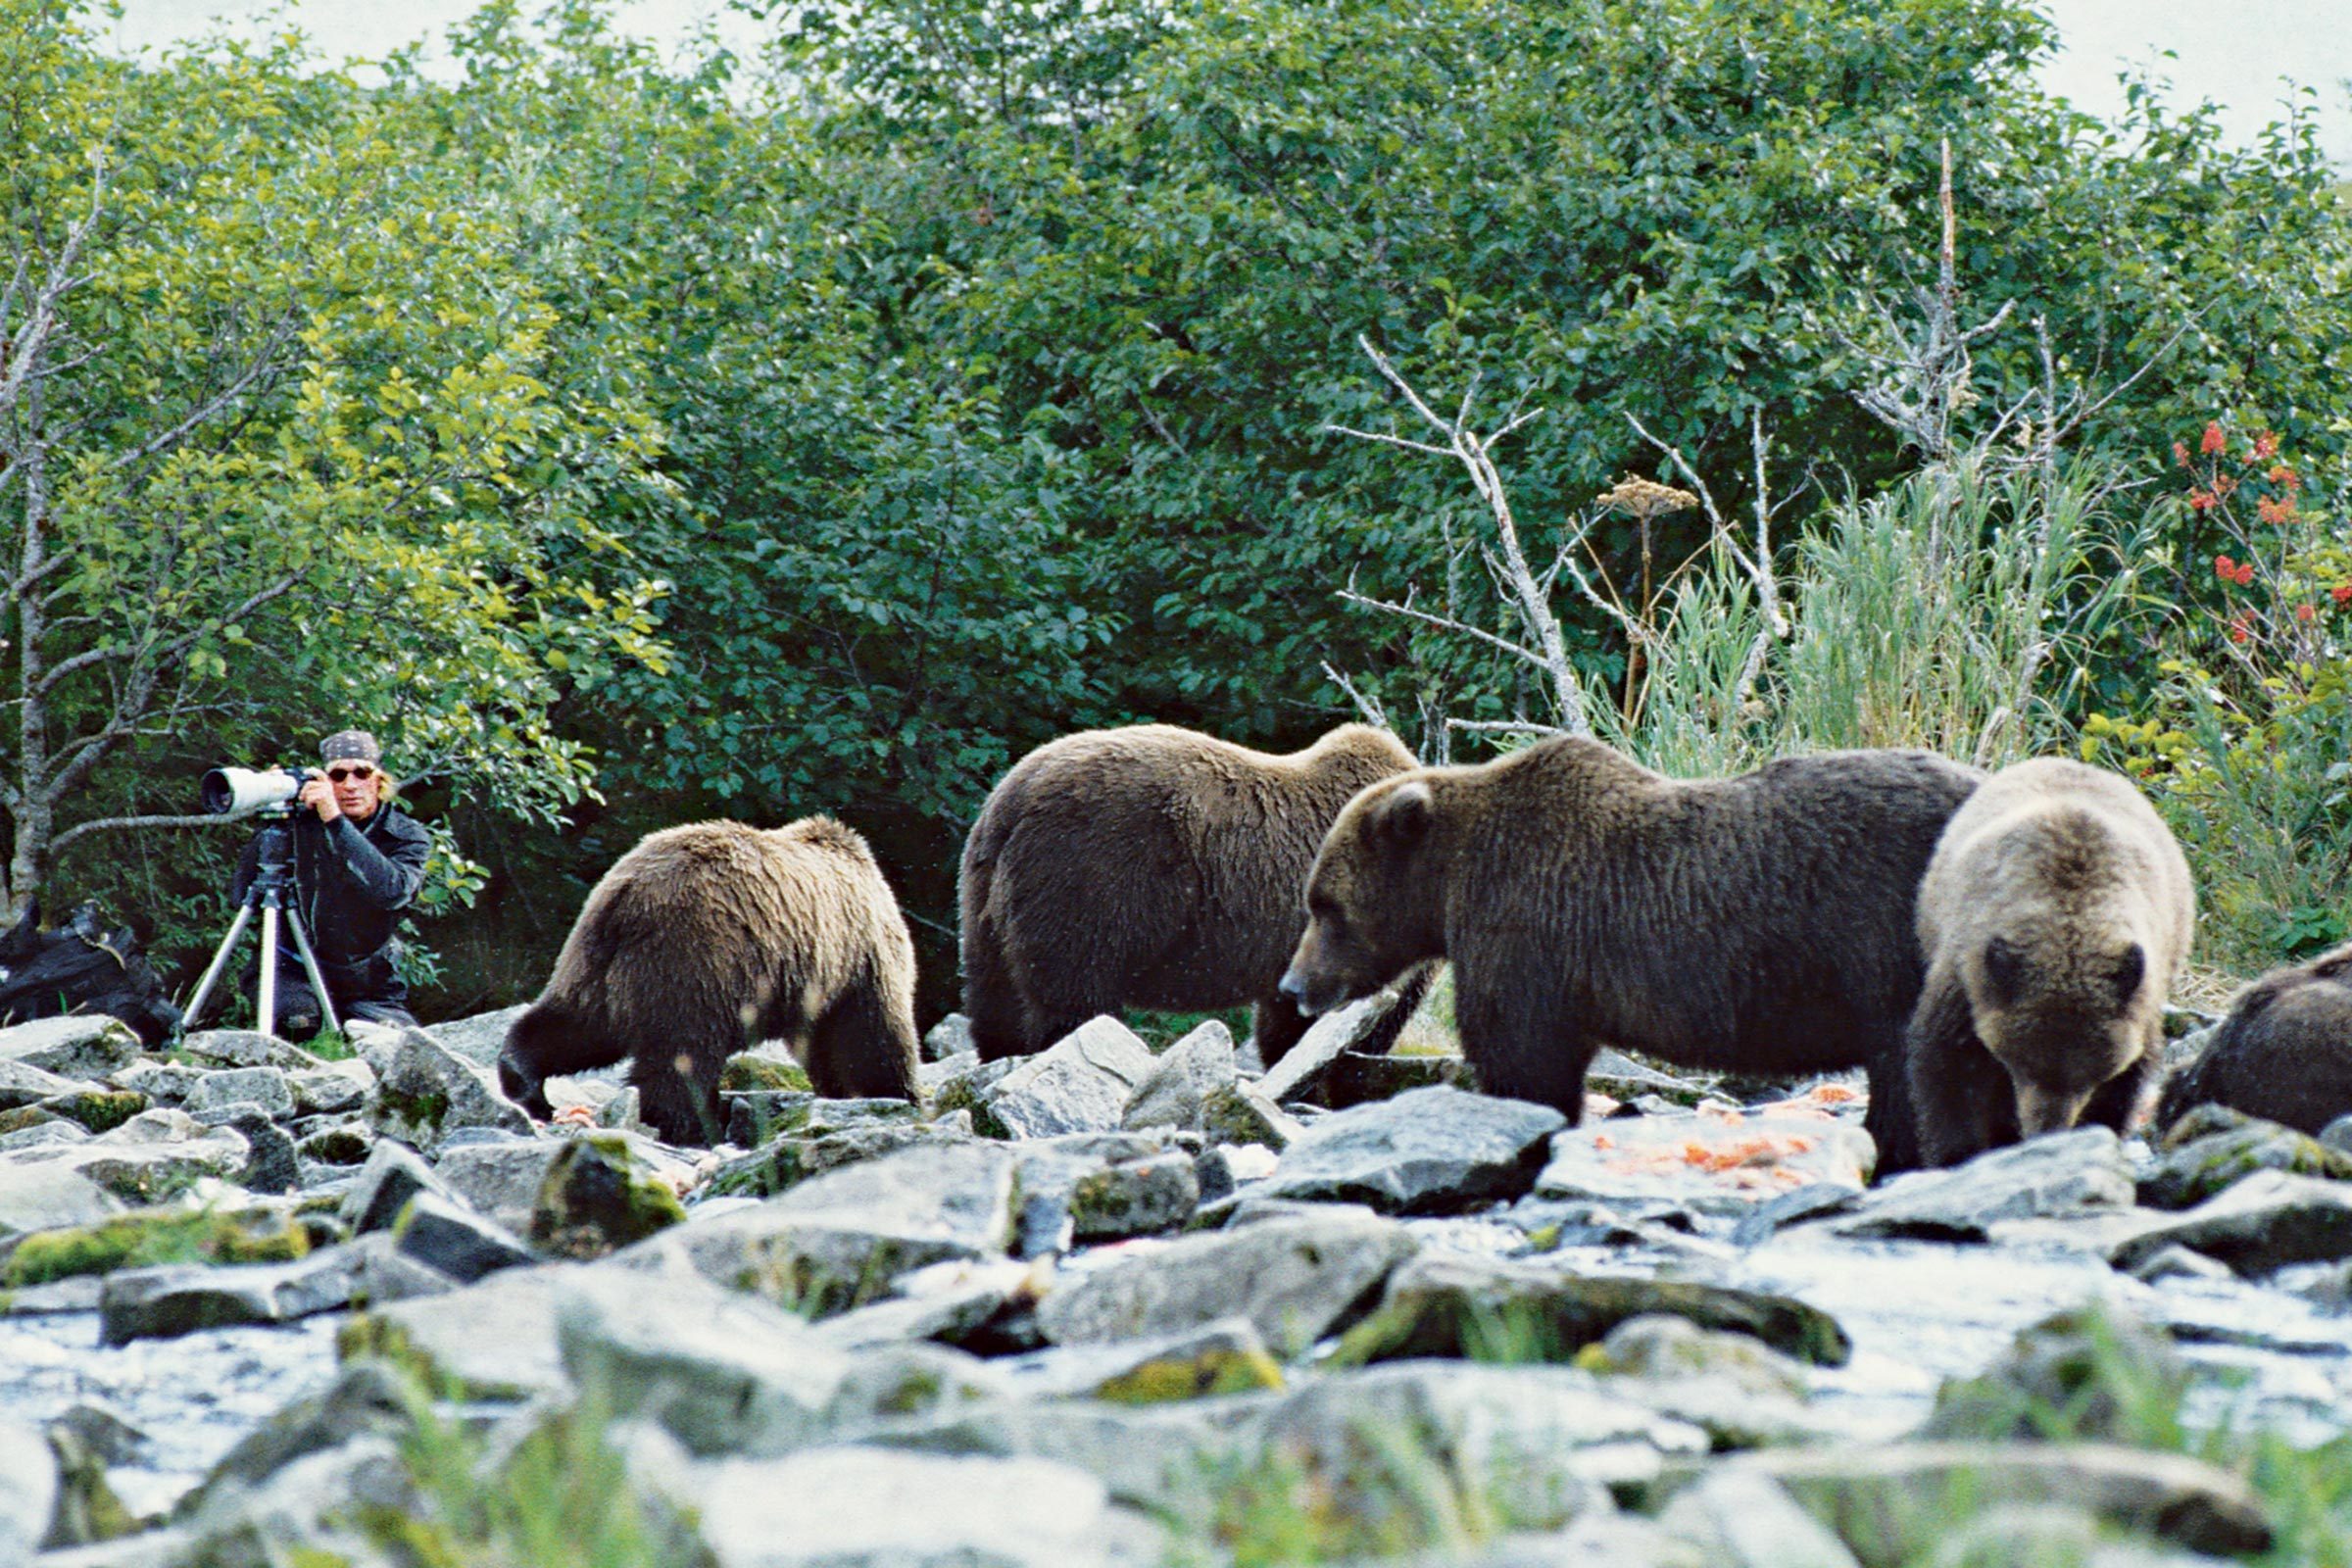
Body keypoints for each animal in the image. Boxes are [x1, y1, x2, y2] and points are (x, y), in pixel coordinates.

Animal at [501, 817, 921, 1147]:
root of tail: (626, 893)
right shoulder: (861, 956)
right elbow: (871, 1036)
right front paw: (895, 1094)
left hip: (595, 960)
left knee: (578, 1025)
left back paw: (523, 1082)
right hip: (695, 958)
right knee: (681, 1056)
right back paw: (690, 1127)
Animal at [1279, 728, 1976, 1161]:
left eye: (1325, 905)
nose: (1294, 985)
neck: (1450, 881)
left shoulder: (1524, 929)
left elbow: (1523, 1059)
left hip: (1889, 940)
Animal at [1900, 752, 2191, 1170]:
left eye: (2091, 1073)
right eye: (2022, 1063)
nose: (2047, 1128)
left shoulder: (2143, 991)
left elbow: (2127, 1082)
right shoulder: (1967, 973)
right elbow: (1946, 1065)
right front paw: (1958, 1151)